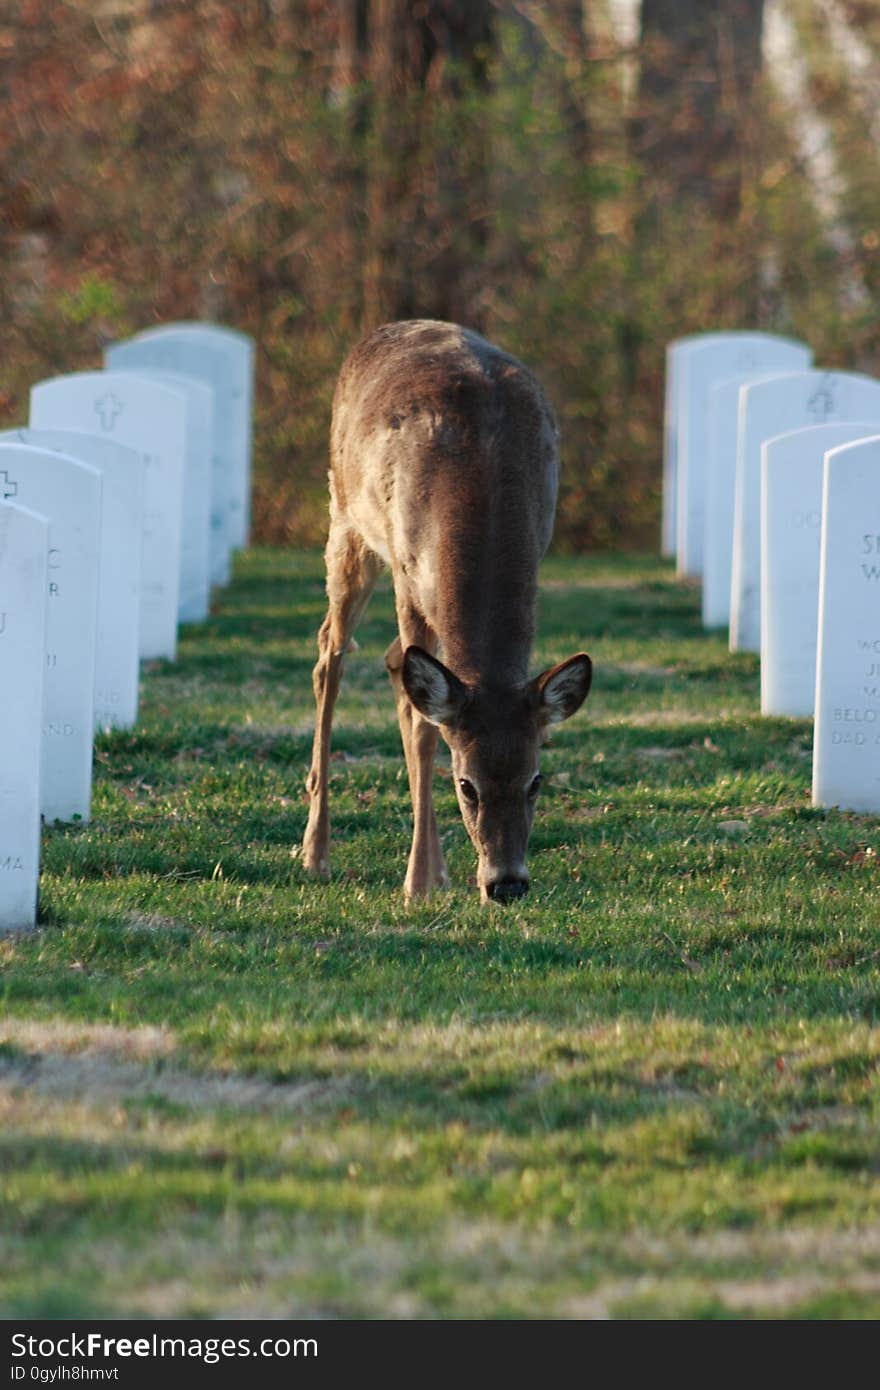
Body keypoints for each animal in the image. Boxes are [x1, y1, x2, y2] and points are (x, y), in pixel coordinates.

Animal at [301, 321, 589, 906]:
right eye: (466, 785)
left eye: (535, 781)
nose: (507, 883)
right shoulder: (407, 570)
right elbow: (423, 726)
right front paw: (417, 879)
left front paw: (433, 873)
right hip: (346, 517)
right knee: (329, 656)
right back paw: (315, 852)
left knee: (393, 660)